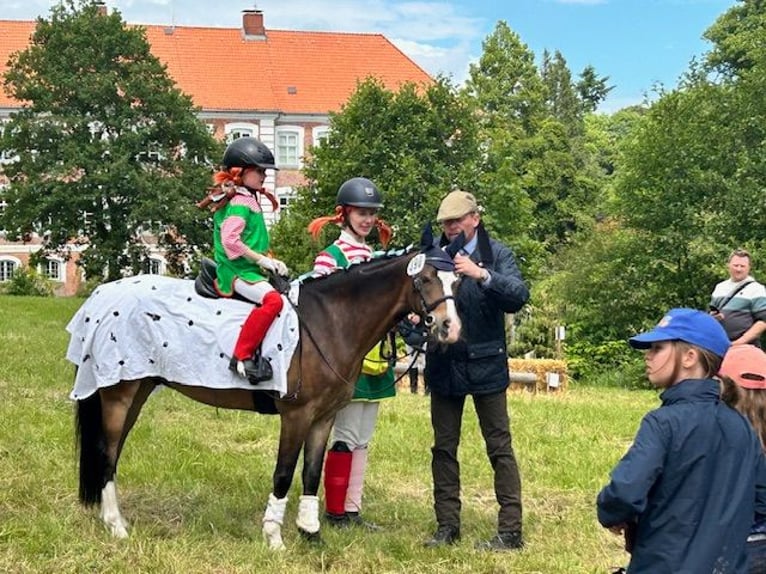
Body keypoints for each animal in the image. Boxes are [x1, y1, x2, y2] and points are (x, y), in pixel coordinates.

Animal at [75, 246, 462, 548]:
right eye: (425, 279)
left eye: (456, 282)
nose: (451, 328)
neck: (329, 321)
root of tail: (103, 295)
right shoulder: (297, 415)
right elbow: (284, 473)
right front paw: (274, 537)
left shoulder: (324, 417)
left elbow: (312, 472)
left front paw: (311, 532)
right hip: (119, 394)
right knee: (107, 453)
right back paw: (117, 526)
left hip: (135, 390)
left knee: (112, 452)